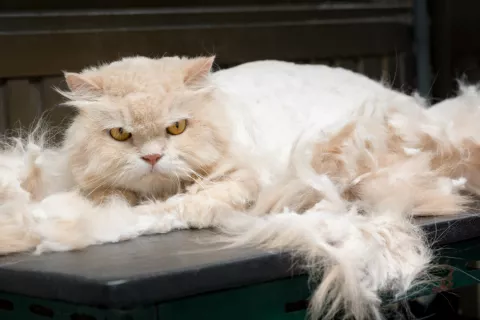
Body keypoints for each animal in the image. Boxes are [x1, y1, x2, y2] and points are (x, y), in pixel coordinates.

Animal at [0, 55, 476, 320]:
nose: (152, 157)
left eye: (176, 128)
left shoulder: (226, 190)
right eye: (120, 135)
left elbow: (151, 216)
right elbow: (107, 198)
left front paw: (50, 226)